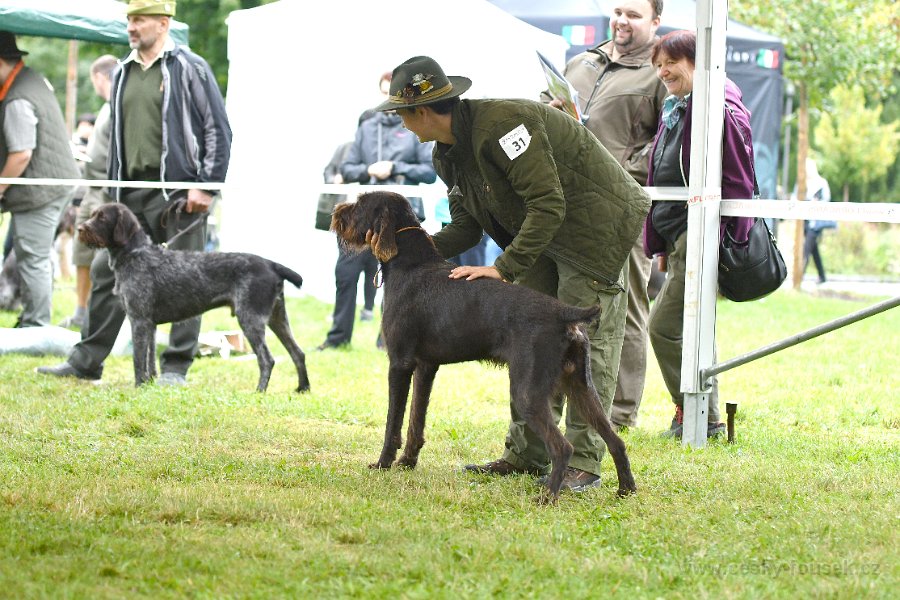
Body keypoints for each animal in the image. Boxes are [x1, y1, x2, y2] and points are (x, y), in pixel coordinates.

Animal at [81, 203, 312, 394]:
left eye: (102, 217)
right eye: (93, 214)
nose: (81, 229)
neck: (135, 254)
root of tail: (271, 264)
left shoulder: (138, 321)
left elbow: (138, 360)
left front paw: (139, 386)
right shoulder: (149, 324)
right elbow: (149, 359)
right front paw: (149, 384)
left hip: (250, 319)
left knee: (267, 359)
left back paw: (260, 391)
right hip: (277, 318)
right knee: (298, 353)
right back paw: (303, 388)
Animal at [332, 192, 640, 502]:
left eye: (360, 204)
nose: (337, 211)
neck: (410, 263)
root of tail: (565, 313)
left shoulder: (399, 362)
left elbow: (393, 422)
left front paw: (383, 463)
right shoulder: (426, 367)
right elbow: (415, 421)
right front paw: (408, 462)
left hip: (527, 392)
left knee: (563, 447)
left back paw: (546, 498)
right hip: (580, 386)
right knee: (615, 440)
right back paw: (626, 489)